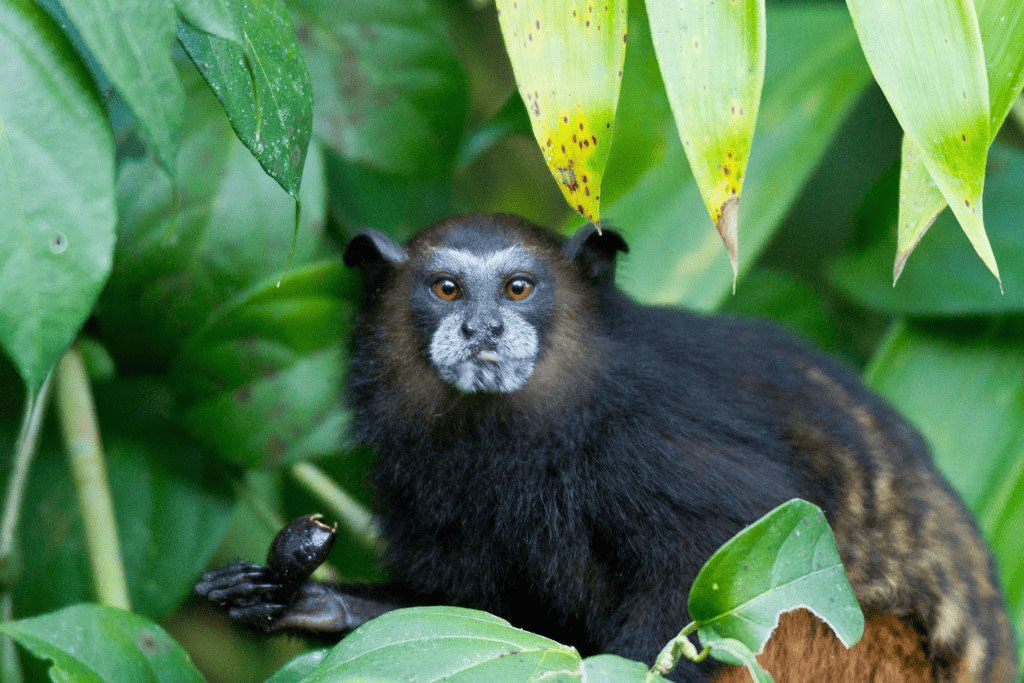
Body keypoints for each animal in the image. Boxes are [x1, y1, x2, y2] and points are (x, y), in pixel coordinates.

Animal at [195, 215, 1019, 683]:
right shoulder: (416, 475)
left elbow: (730, 557)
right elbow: (479, 613)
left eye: (519, 288)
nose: (482, 330)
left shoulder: (649, 432)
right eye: (447, 289)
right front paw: (310, 602)